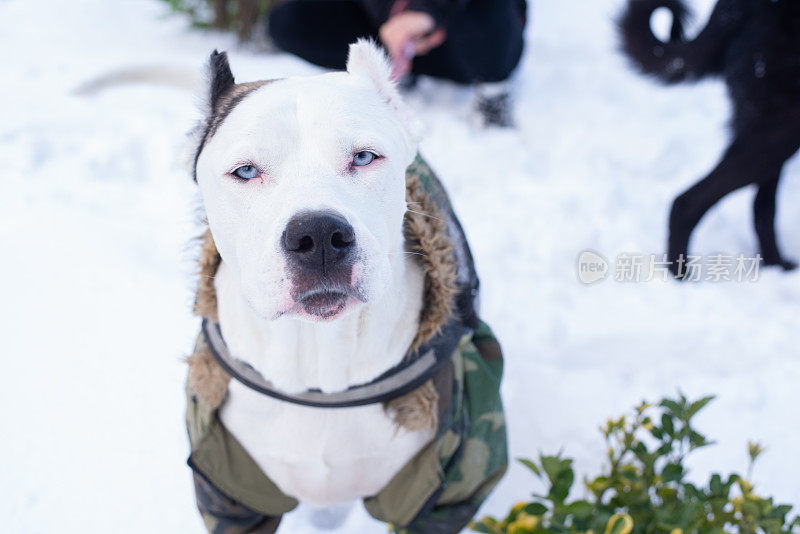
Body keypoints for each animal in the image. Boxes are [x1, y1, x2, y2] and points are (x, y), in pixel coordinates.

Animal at [620, 0, 796, 278]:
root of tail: (735, 7)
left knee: (761, 208)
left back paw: (777, 266)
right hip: (780, 129)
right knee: (686, 203)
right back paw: (681, 278)